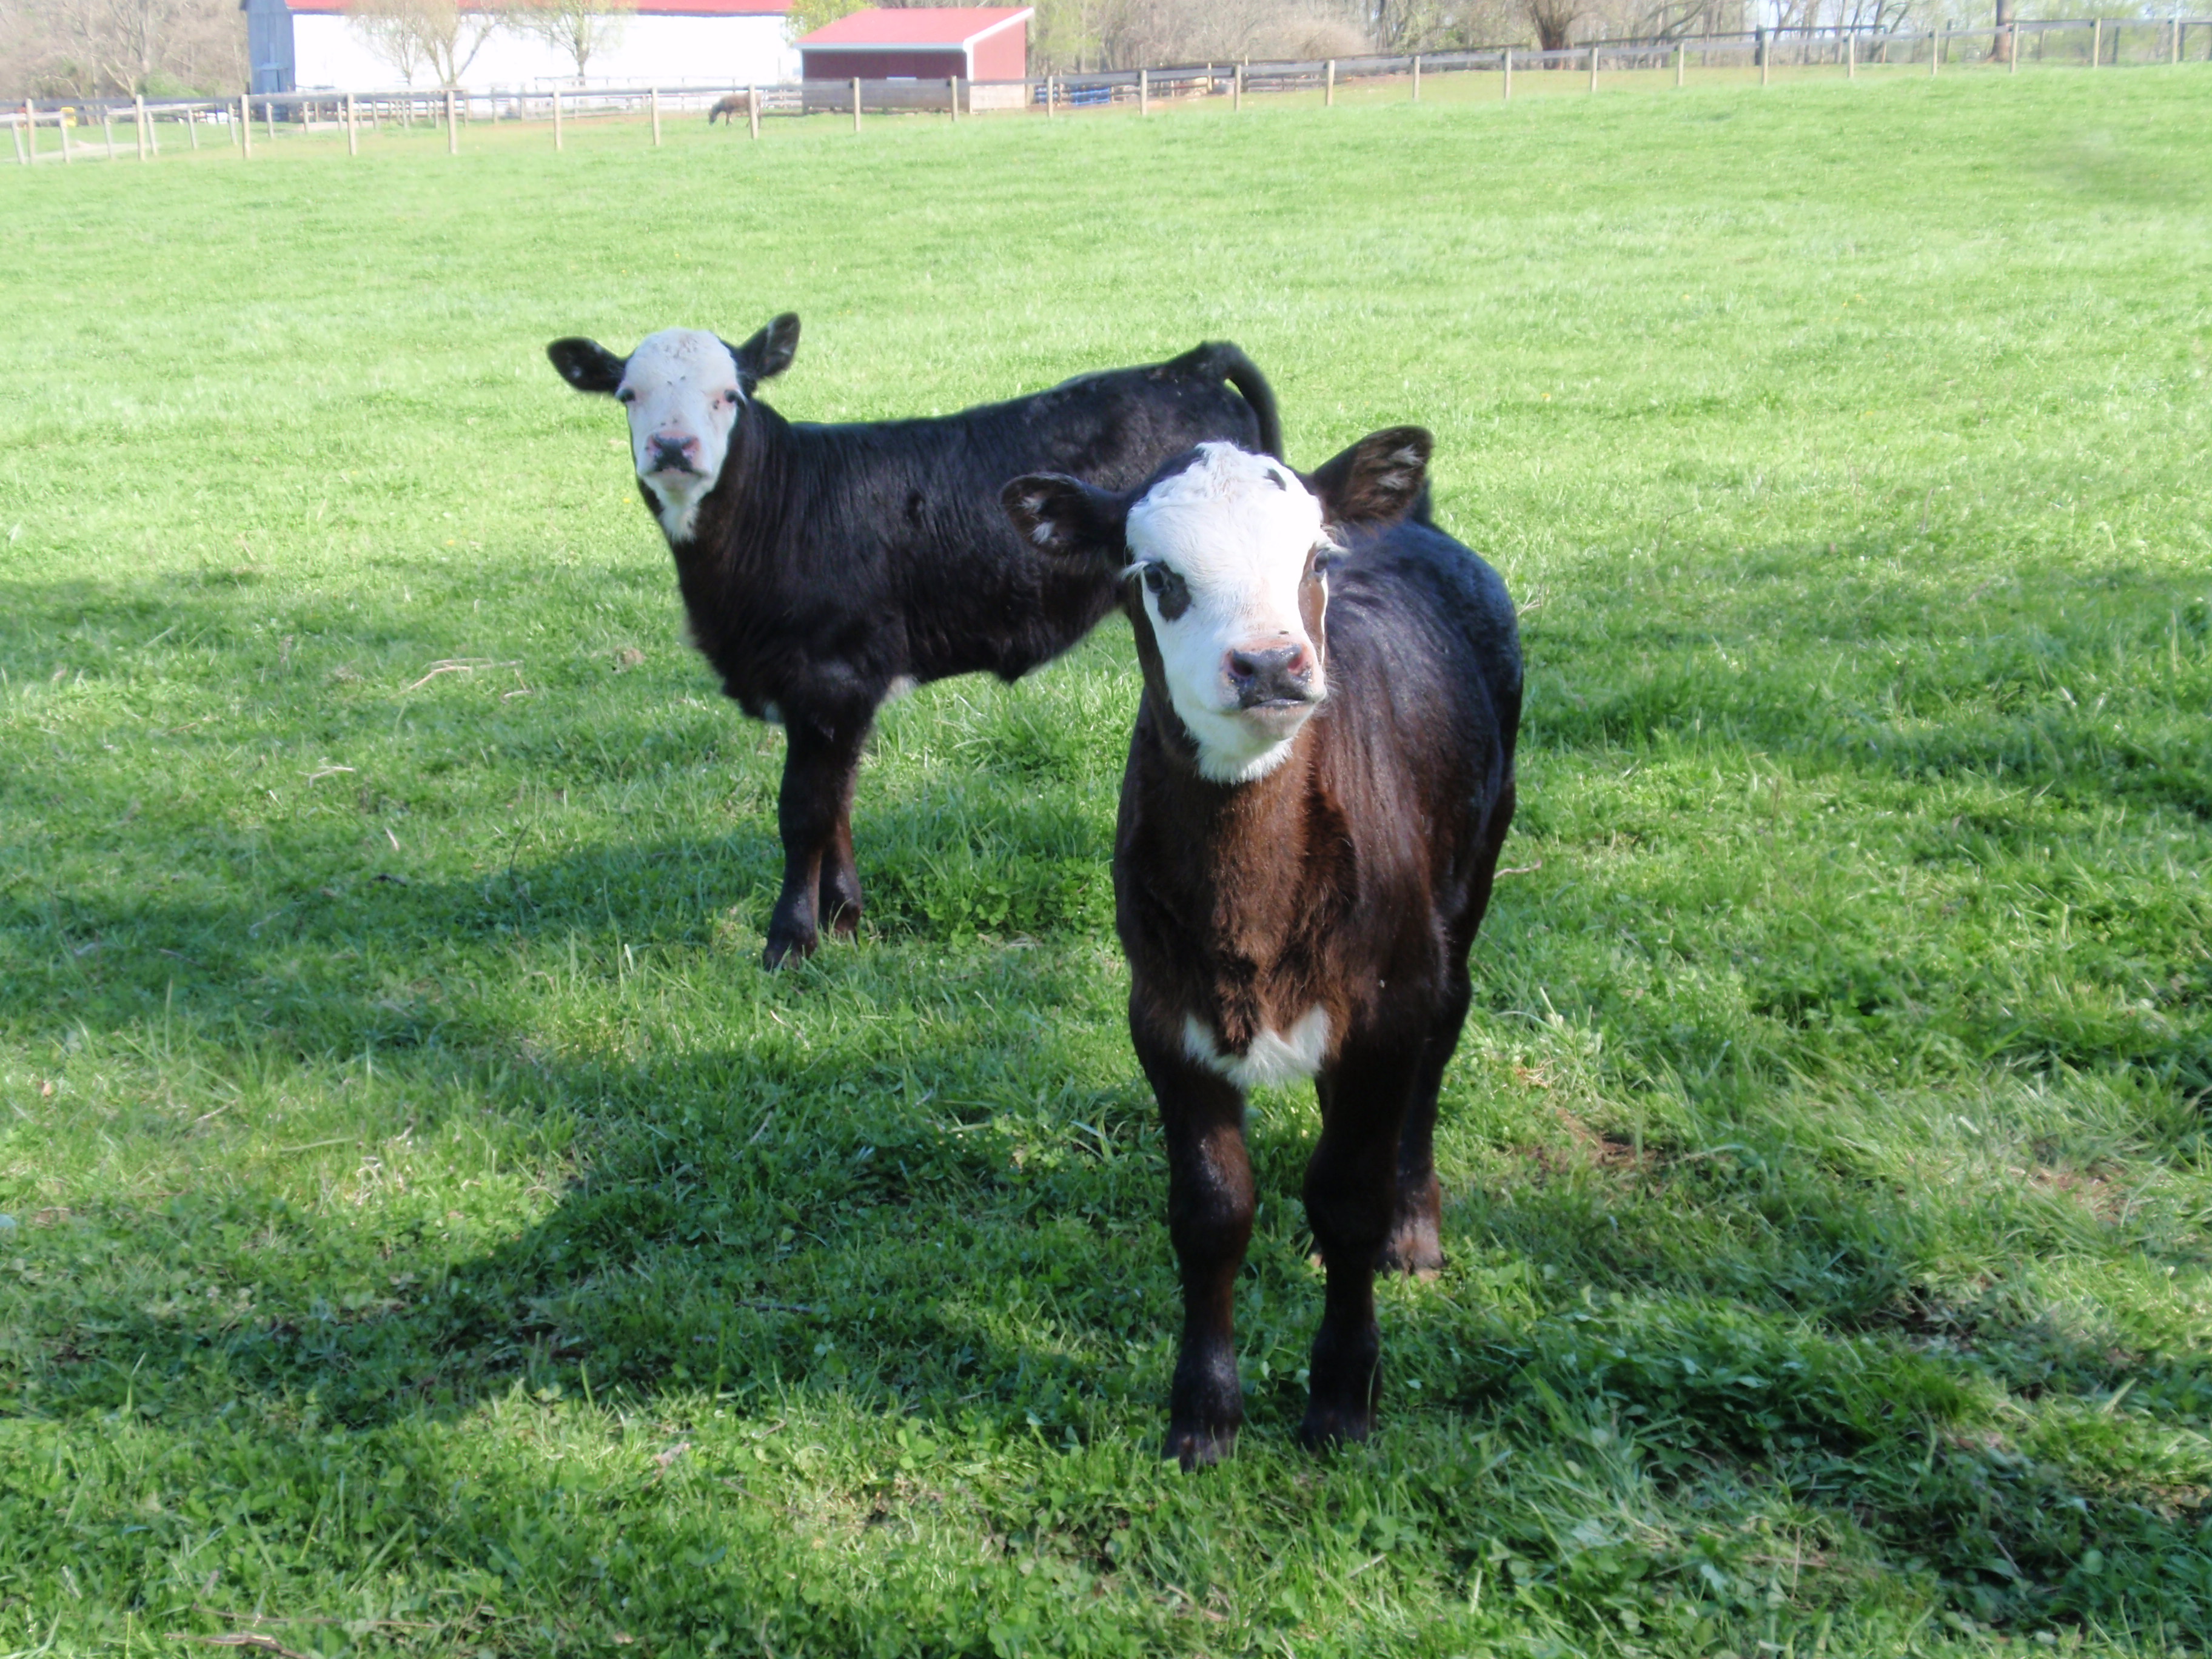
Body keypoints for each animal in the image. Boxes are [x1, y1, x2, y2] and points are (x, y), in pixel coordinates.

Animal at [546, 315, 1281, 967]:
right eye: (628, 394)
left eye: (731, 394)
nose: (673, 447)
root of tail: (1186, 367)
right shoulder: (829, 697)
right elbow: (838, 804)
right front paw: (844, 918)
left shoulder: (831, 678)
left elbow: (804, 813)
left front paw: (790, 942)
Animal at [1000, 430, 1521, 1467]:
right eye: (1159, 576)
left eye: (1316, 559)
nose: (1272, 663)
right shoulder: (1164, 1012)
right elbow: (1211, 1211)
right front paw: (1203, 1416)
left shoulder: (1389, 1001)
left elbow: (1351, 1196)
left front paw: (1343, 1403)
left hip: (1478, 859)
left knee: (1443, 1041)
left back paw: (1415, 1227)